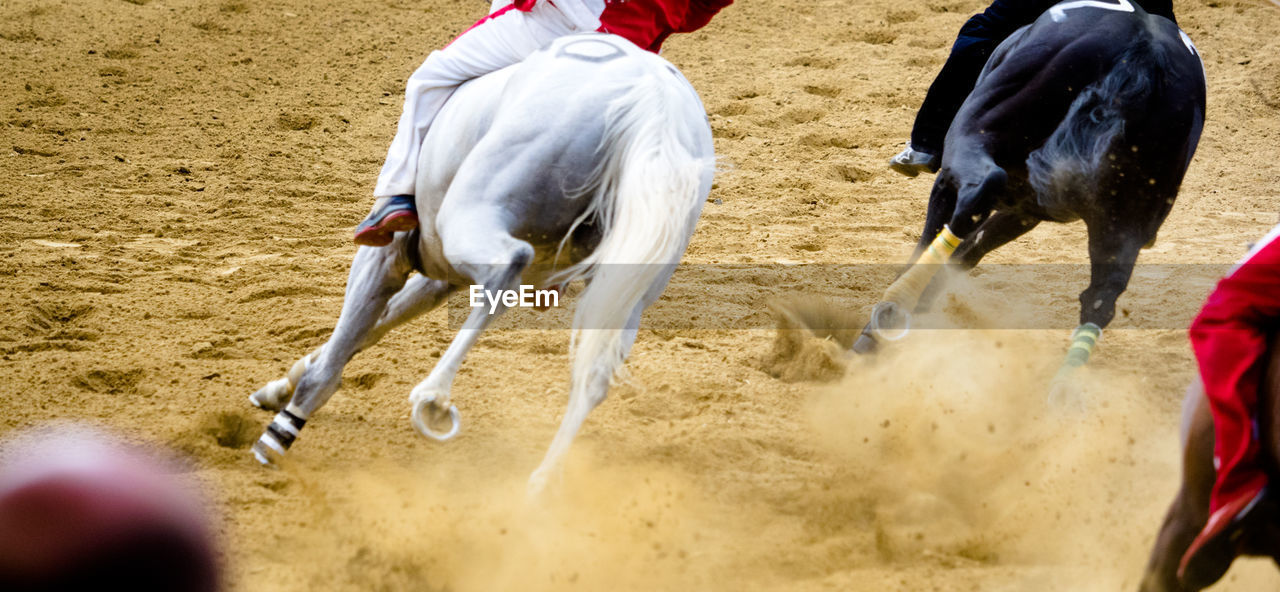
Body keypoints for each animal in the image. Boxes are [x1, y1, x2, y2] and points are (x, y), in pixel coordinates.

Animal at [244, 33, 716, 494]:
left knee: (508, 267)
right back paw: (542, 484)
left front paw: (287, 420)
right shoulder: (440, 274)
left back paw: (434, 397)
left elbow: (351, 333)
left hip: (470, 216)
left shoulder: (389, 254)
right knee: (595, 374)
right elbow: (370, 328)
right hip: (628, 290)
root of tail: (655, 100)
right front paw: (281, 386)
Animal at [855, 0, 1203, 384]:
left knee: (979, 191)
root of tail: (1144, 54)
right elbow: (967, 252)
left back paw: (887, 314)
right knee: (1102, 297)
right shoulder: (1025, 209)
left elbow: (936, 240)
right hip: (1124, 222)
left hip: (971, 140)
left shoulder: (969, 185)